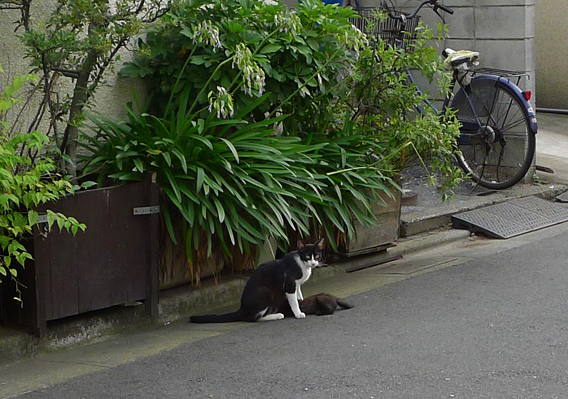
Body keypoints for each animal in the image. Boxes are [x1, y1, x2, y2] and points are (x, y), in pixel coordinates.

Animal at [190, 239, 324, 324]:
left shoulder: (297, 285)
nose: (313, 263)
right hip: (265, 293)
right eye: (307, 256)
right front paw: (298, 313)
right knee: (253, 318)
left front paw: (302, 302)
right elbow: (294, 300)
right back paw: (276, 316)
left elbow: (299, 294)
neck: (302, 264)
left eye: (317, 256)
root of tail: (242, 309)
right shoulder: (289, 284)